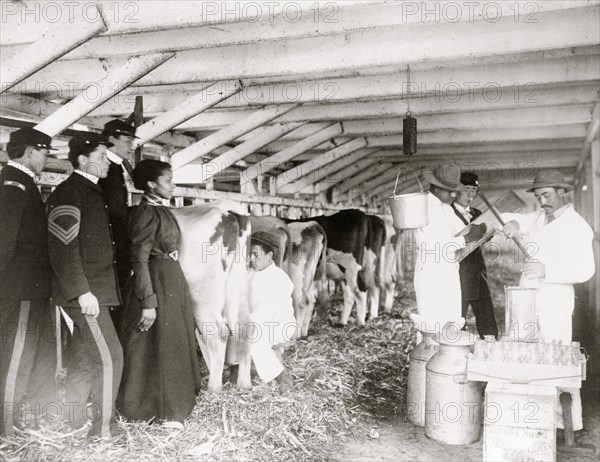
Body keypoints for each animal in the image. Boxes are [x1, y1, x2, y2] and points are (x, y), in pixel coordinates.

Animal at [172, 204, 252, 392]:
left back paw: (214, 387)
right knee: (244, 327)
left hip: (203, 298)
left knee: (218, 334)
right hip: (238, 286)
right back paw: (244, 383)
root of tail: (229, 213)